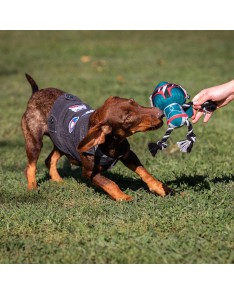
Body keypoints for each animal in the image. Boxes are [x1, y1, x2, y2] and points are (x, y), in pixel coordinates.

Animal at [21, 74, 170, 201]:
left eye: (134, 102)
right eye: (128, 118)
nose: (161, 113)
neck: (111, 143)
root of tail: (35, 93)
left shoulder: (128, 154)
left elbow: (144, 172)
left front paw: (161, 188)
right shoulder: (89, 172)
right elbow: (110, 183)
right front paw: (123, 197)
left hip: (61, 142)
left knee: (49, 159)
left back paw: (57, 180)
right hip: (34, 140)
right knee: (30, 166)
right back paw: (32, 188)